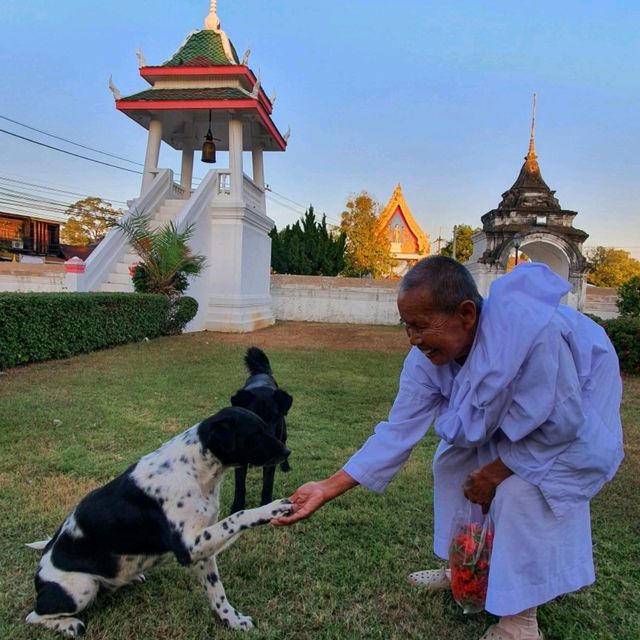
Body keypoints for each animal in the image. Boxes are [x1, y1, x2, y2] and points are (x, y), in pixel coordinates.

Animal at [25, 408, 292, 636]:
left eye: (267, 427)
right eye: (255, 432)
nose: (287, 452)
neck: (195, 471)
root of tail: (41, 573)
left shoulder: (202, 554)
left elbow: (218, 594)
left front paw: (233, 620)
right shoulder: (188, 547)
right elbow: (239, 515)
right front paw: (272, 508)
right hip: (80, 588)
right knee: (33, 616)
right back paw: (69, 625)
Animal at [230, 348, 296, 512]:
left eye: (275, 417)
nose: (270, 443)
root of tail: (262, 372)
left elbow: (267, 485)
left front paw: (266, 506)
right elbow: (240, 486)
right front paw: (237, 507)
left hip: (284, 434)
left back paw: (285, 466)